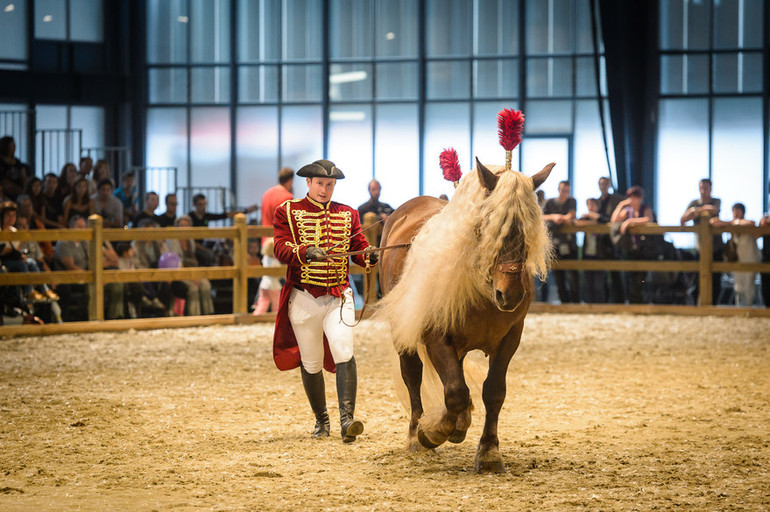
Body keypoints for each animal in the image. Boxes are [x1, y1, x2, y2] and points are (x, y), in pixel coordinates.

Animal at [376, 159, 548, 472]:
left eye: (529, 230)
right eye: (488, 225)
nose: (511, 295)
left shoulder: (510, 338)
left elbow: (493, 391)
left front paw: (489, 451)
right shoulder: (435, 336)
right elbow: (455, 390)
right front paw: (432, 432)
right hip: (404, 334)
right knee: (413, 375)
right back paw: (416, 434)